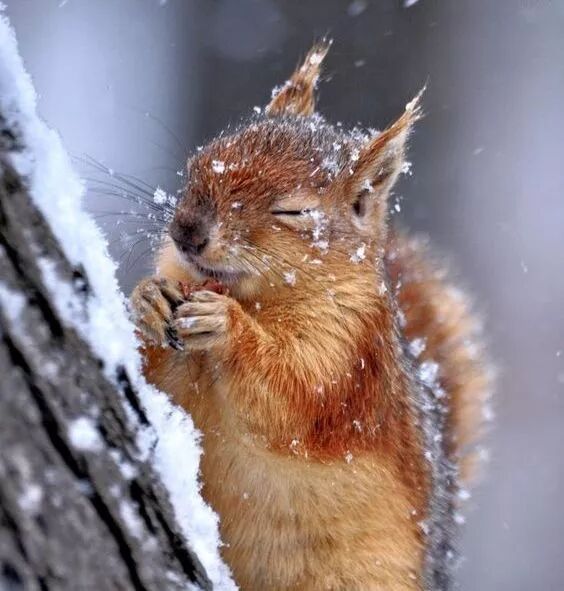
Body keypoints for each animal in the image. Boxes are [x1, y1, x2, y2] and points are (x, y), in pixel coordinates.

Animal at [131, 42, 491, 591]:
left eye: (294, 212)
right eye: (201, 159)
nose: (187, 232)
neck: (255, 296)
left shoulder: (350, 355)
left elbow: (296, 394)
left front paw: (227, 327)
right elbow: (158, 377)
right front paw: (148, 298)